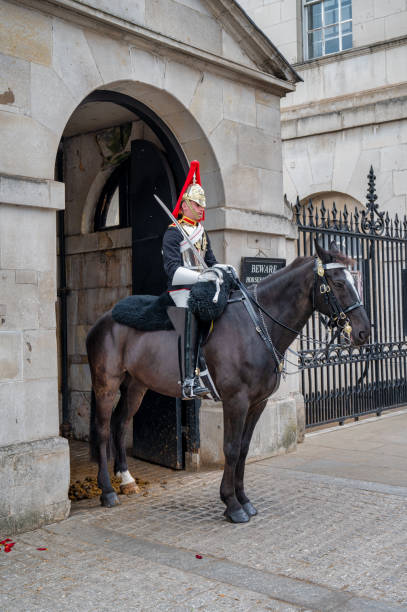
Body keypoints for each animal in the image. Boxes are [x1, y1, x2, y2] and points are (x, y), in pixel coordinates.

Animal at [87, 241, 372, 524]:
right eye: (338, 283)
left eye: (353, 279)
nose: (364, 332)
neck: (257, 326)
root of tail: (104, 319)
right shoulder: (236, 400)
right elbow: (232, 448)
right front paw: (232, 504)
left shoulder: (258, 403)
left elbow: (244, 449)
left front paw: (244, 499)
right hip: (106, 385)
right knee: (102, 430)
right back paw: (108, 491)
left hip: (136, 385)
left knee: (120, 424)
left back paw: (126, 479)